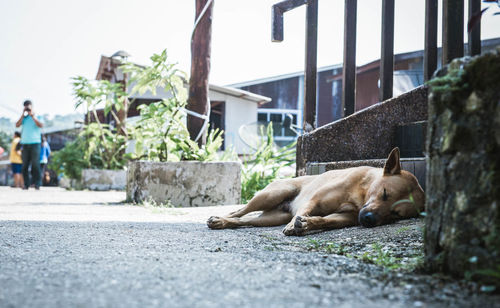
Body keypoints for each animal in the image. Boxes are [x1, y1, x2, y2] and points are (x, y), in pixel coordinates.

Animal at [205, 147, 424, 236]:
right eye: (385, 193)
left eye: (395, 215)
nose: (369, 220)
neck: (361, 193)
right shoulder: (314, 201)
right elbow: (305, 211)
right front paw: (296, 225)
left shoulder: (344, 218)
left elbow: (323, 220)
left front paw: (307, 224)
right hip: (272, 194)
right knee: (239, 212)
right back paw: (220, 218)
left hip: (271, 218)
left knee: (245, 221)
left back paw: (224, 223)